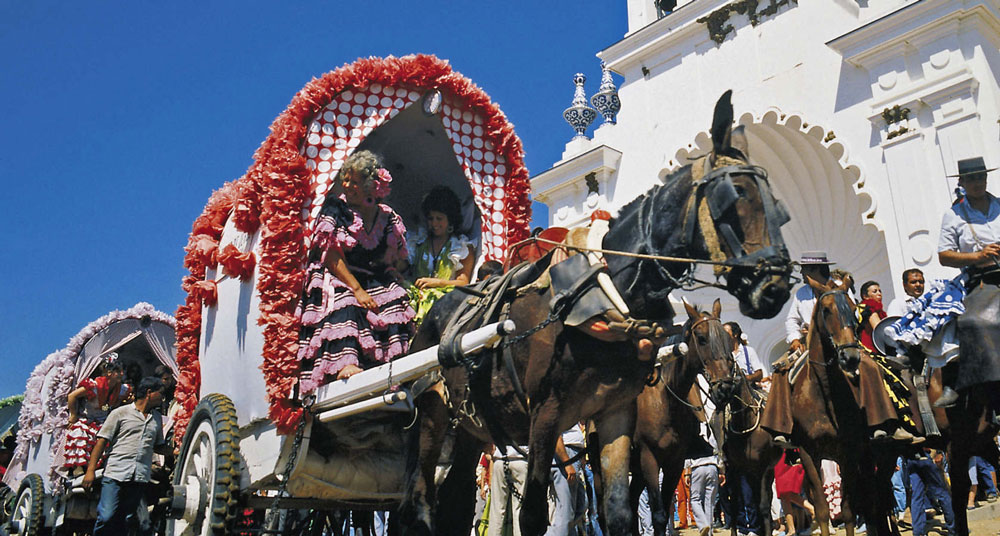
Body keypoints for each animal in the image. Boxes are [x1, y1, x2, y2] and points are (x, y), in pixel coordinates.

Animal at [394, 92, 792, 536]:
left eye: (777, 206)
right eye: (736, 195)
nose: (775, 285)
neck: (599, 295)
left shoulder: (615, 415)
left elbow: (618, 513)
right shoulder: (546, 416)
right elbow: (534, 514)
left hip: (472, 429)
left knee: (456, 504)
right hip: (433, 419)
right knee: (417, 503)